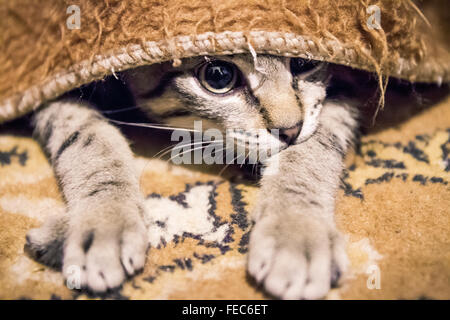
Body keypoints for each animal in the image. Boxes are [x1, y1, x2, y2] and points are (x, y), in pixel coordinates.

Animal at [27, 53, 358, 298]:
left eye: (304, 61)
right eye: (219, 76)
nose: (290, 130)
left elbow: (314, 144)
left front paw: (297, 232)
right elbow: (84, 134)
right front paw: (105, 220)